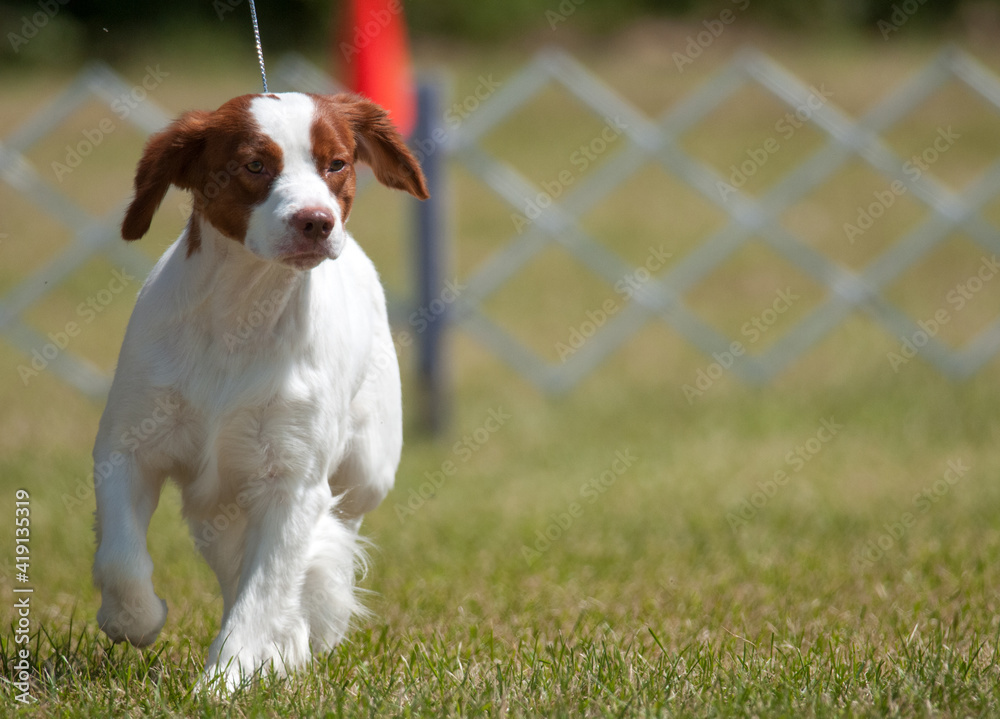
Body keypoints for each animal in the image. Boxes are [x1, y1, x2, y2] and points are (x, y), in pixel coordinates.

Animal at [90, 93, 426, 688]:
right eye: (254, 165)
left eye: (336, 163)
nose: (317, 221)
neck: (240, 314)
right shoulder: (127, 447)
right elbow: (120, 557)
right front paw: (135, 620)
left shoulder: (292, 481)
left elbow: (266, 588)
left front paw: (226, 679)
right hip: (218, 500)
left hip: (368, 468)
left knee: (333, 533)